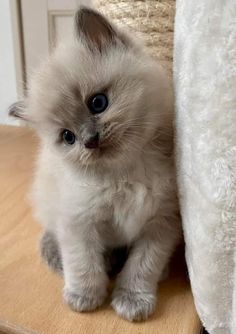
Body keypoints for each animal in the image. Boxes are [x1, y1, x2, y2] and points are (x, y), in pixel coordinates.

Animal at [9, 7, 181, 320]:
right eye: (68, 137)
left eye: (98, 103)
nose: (90, 140)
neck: (126, 175)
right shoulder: (78, 221)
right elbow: (83, 264)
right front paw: (84, 298)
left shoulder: (161, 222)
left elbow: (142, 266)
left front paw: (132, 301)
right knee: (53, 235)